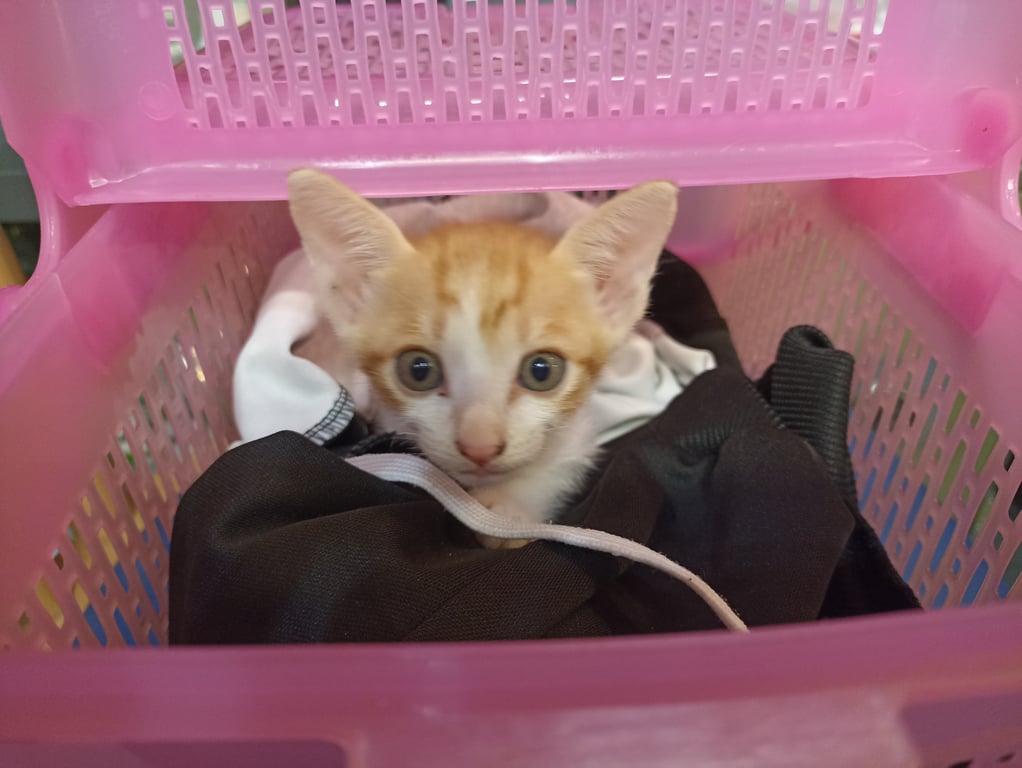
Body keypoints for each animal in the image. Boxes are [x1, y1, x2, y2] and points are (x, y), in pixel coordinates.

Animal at [287, 170, 678, 548]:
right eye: (418, 370)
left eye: (542, 371)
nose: (480, 448)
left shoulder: (580, 431)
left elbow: (561, 463)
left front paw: (509, 508)